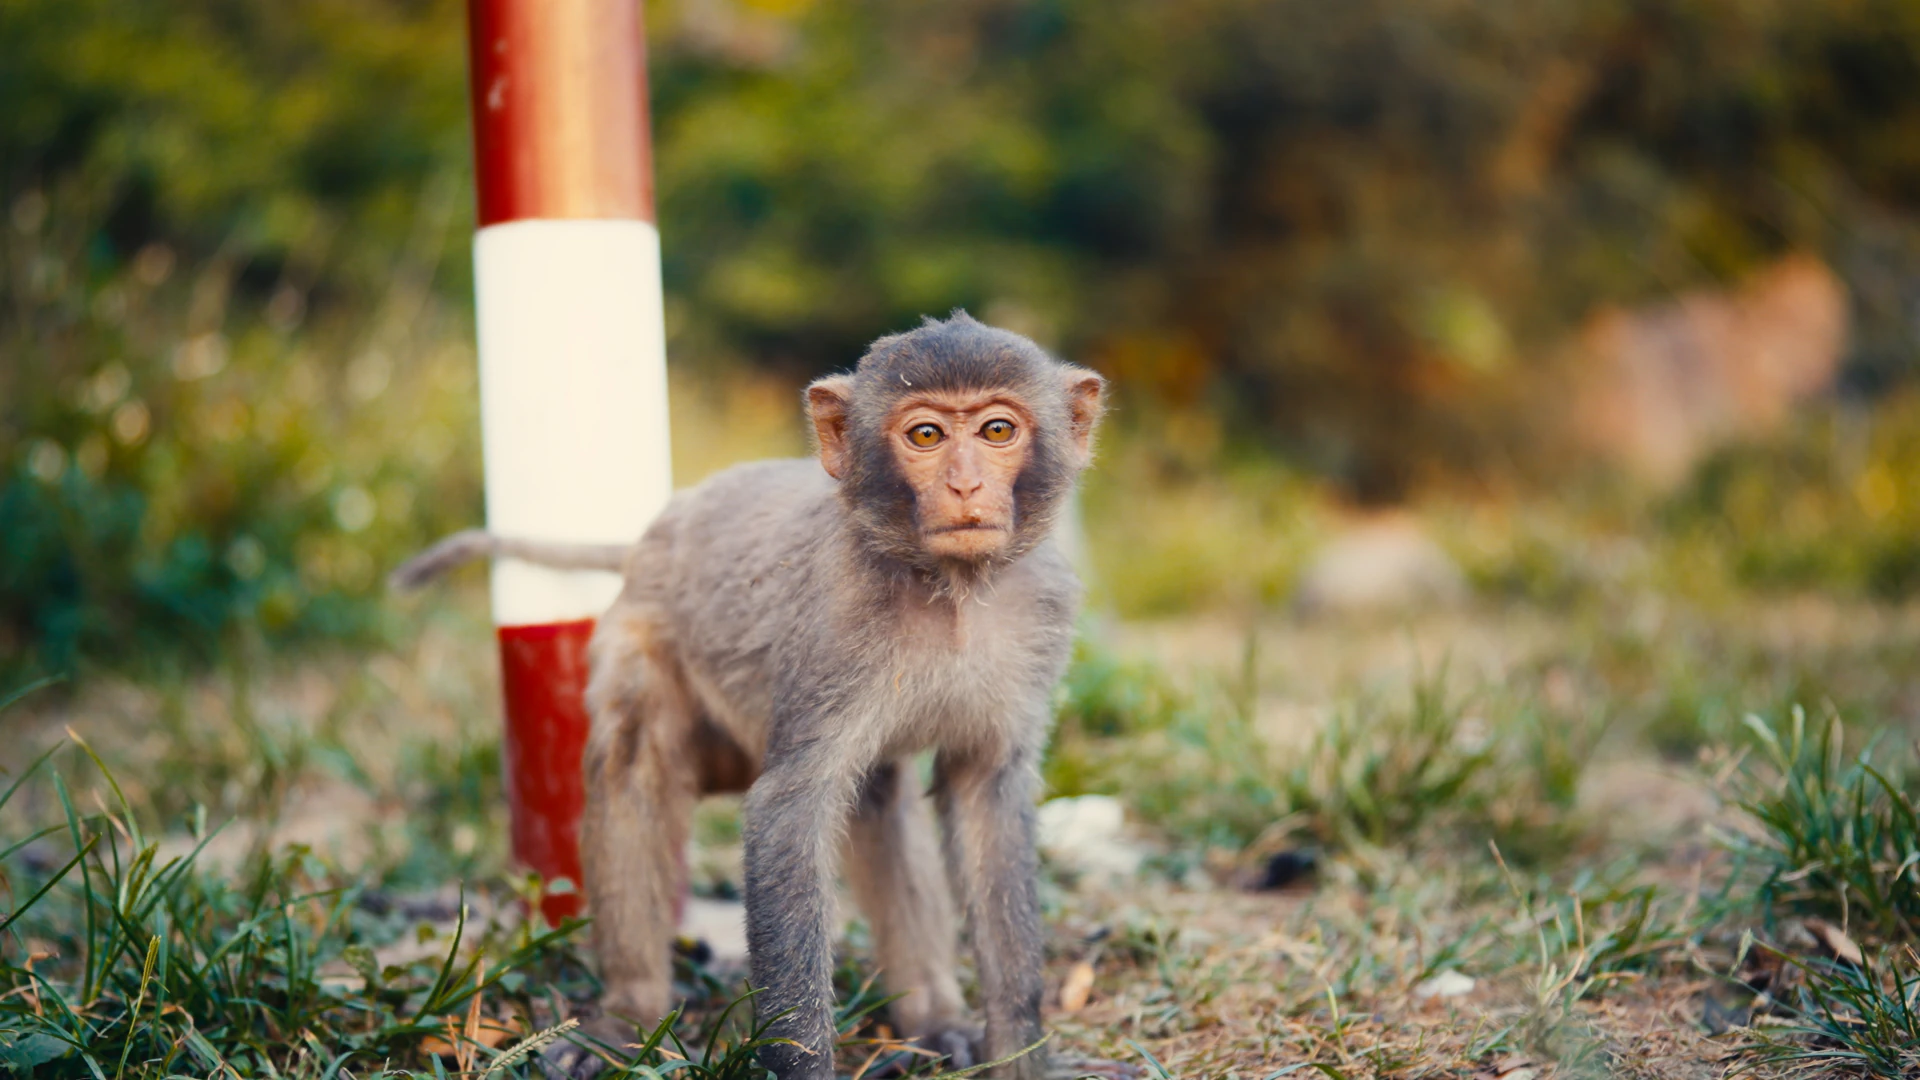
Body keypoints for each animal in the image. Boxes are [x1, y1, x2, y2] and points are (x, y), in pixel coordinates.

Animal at [392, 313, 1105, 1080]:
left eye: (998, 431)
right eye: (926, 436)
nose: (967, 485)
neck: (952, 589)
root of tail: (658, 530)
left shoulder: (1040, 616)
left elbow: (985, 797)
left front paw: (1019, 1049)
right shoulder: (834, 628)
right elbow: (787, 813)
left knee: (878, 797)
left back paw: (931, 1015)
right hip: (645, 633)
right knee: (636, 762)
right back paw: (628, 1013)